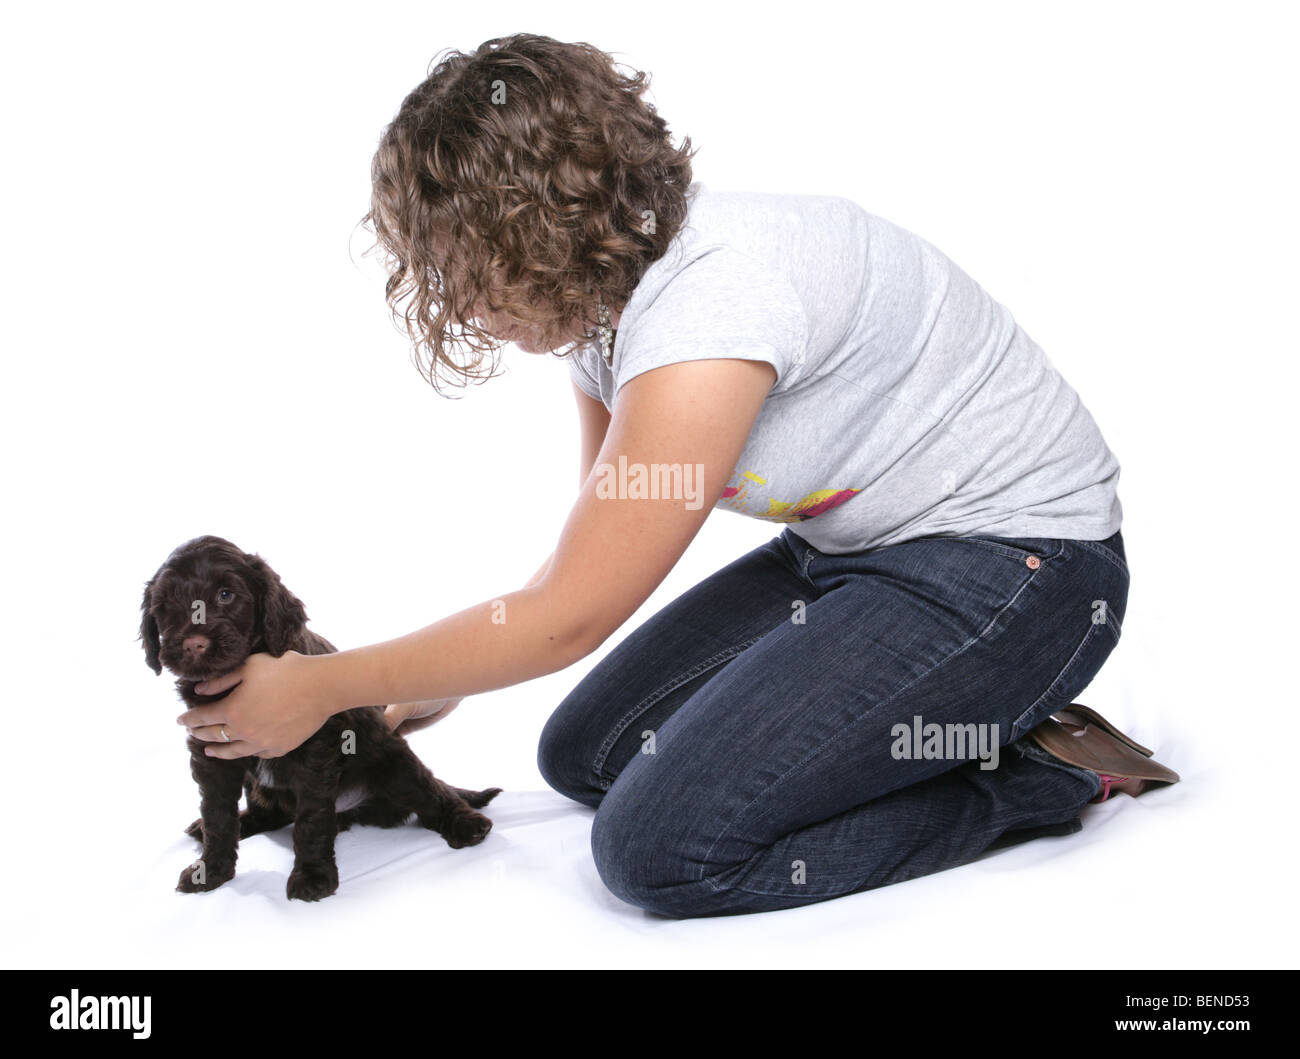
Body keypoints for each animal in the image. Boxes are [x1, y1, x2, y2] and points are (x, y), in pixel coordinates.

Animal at [139, 537, 499, 904]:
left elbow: (311, 819)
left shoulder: (315, 748)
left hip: (393, 761)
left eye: (226, 594)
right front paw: (210, 871)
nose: (193, 644)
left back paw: (467, 824)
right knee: (268, 813)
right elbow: (217, 815)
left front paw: (312, 876)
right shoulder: (211, 752)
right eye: (165, 604)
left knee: (431, 793)